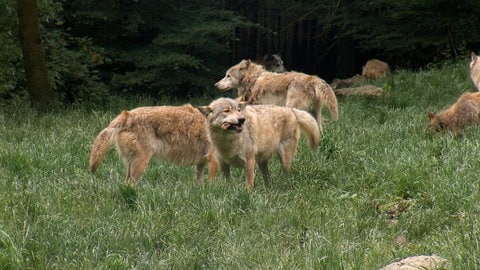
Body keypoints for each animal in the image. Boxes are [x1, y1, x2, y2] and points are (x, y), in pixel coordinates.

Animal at [88, 104, 218, 186]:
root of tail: (126, 114)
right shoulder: (214, 160)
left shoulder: (201, 163)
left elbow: (200, 184)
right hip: (141, 163)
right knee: (130, 185)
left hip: (131, 164)